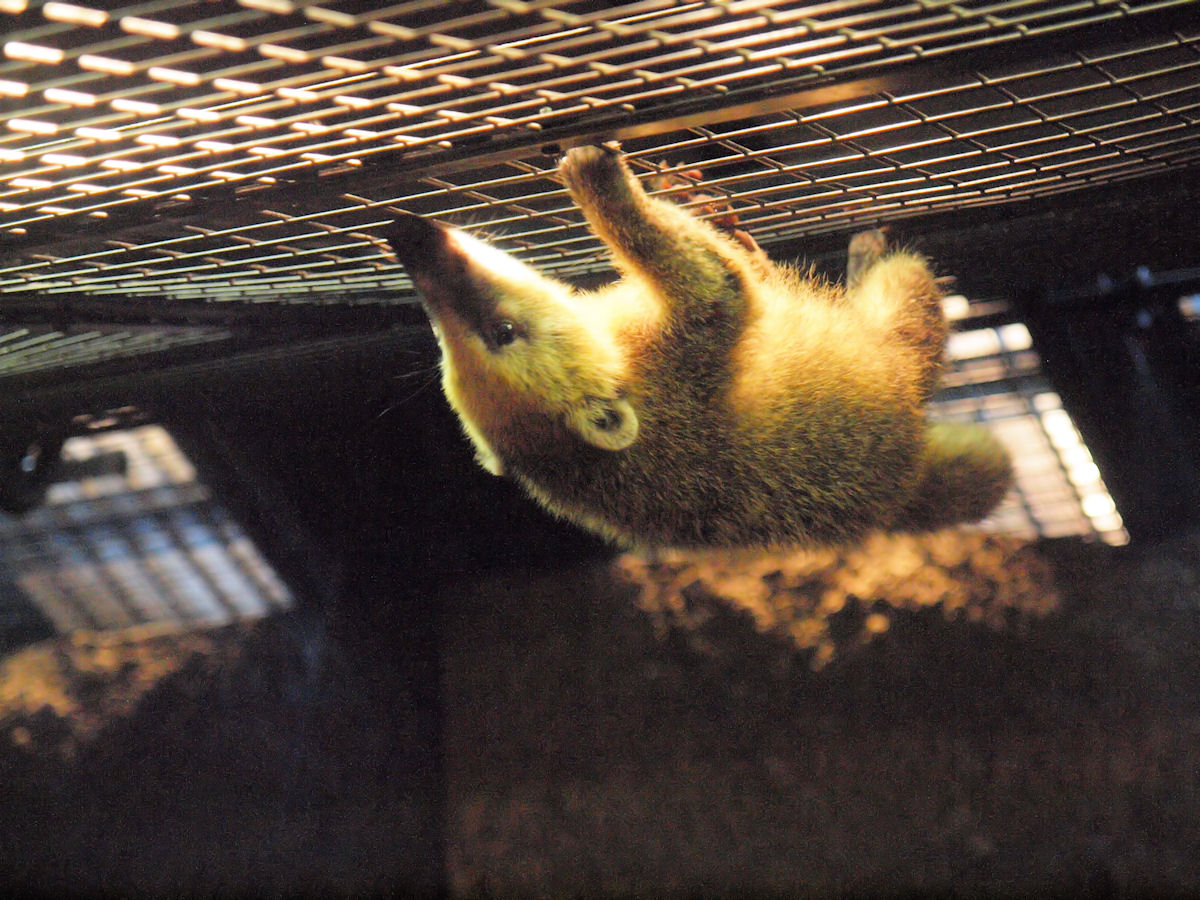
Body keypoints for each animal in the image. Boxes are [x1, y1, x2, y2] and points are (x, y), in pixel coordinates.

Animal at [385, 144, 1012, 549]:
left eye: (443, 348)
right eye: (504, 333)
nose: (406, 234)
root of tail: (903, 492)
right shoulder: (680, 361)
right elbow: (718, 287)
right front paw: (601, 184)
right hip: (895, 360)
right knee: (908, 300)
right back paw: (870, 266)